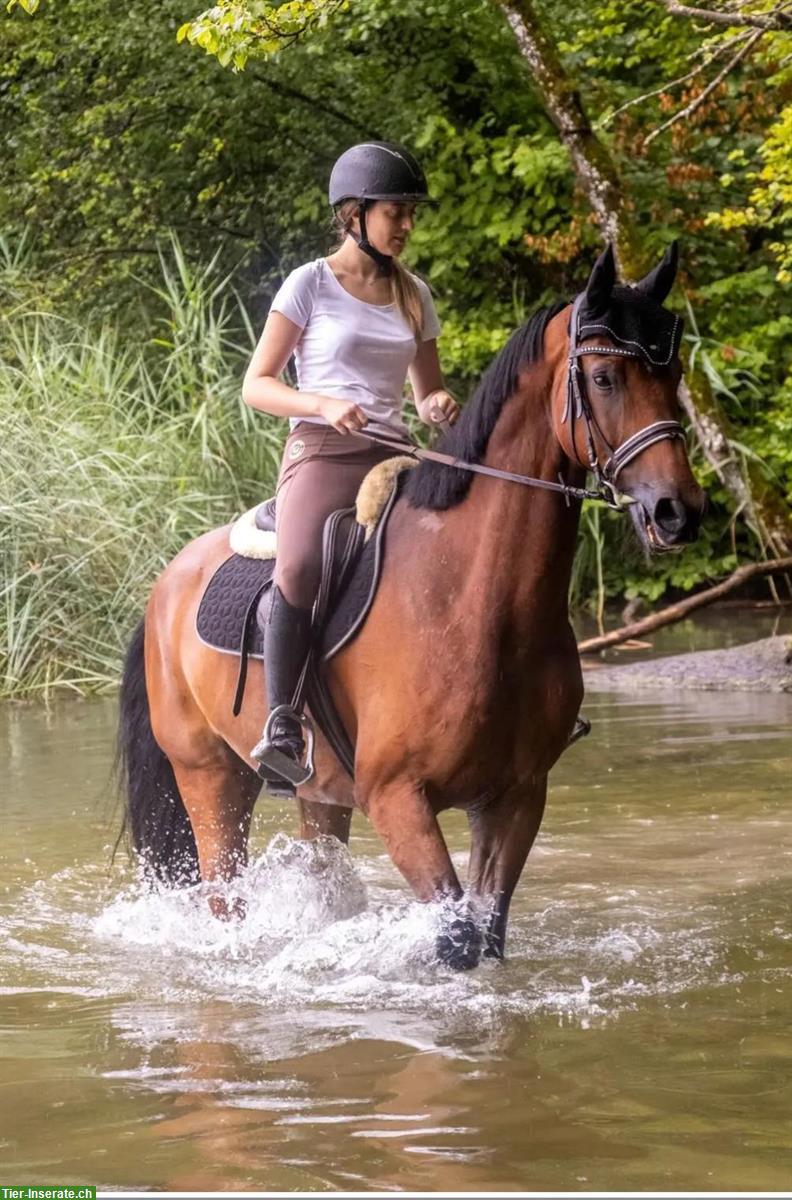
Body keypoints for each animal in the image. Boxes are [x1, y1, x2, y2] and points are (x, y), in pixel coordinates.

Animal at [117, 243, 705, 964]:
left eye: (673, 371)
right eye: (603, 377)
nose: (677, 512)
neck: (475, 602)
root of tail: (166, 582)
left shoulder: (516, 797)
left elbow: (489, 932)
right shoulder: (398, 799)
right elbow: (455, 939)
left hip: (319, 791)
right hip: (209, 776)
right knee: (224, 893)